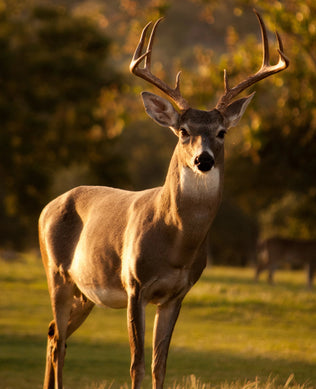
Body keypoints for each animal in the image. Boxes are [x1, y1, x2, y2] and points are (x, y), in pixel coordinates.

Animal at [39, 9, 288, 388]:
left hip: (85, 291)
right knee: (59, 340)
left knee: (54, 334)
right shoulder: (134, 285)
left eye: (222, 132)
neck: (175, 241)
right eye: (183, 131)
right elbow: (137, 363)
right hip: (56, 273)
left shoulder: (177, 293)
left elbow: (160, 364)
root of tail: (47, 207)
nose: (203, 159)